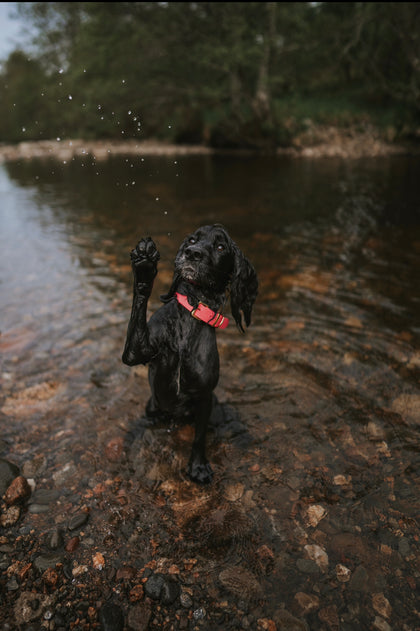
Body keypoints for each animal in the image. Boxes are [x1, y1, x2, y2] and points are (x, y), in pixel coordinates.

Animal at [123, 223, 258, 484]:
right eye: (192, 240)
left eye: (220, 246)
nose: (193, 253)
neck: (192, 310)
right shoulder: (135, 352)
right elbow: (140, 297)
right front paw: (144, 265)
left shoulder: (204, 397)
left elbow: (199, 437)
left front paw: (198, 466)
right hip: (152, 406)